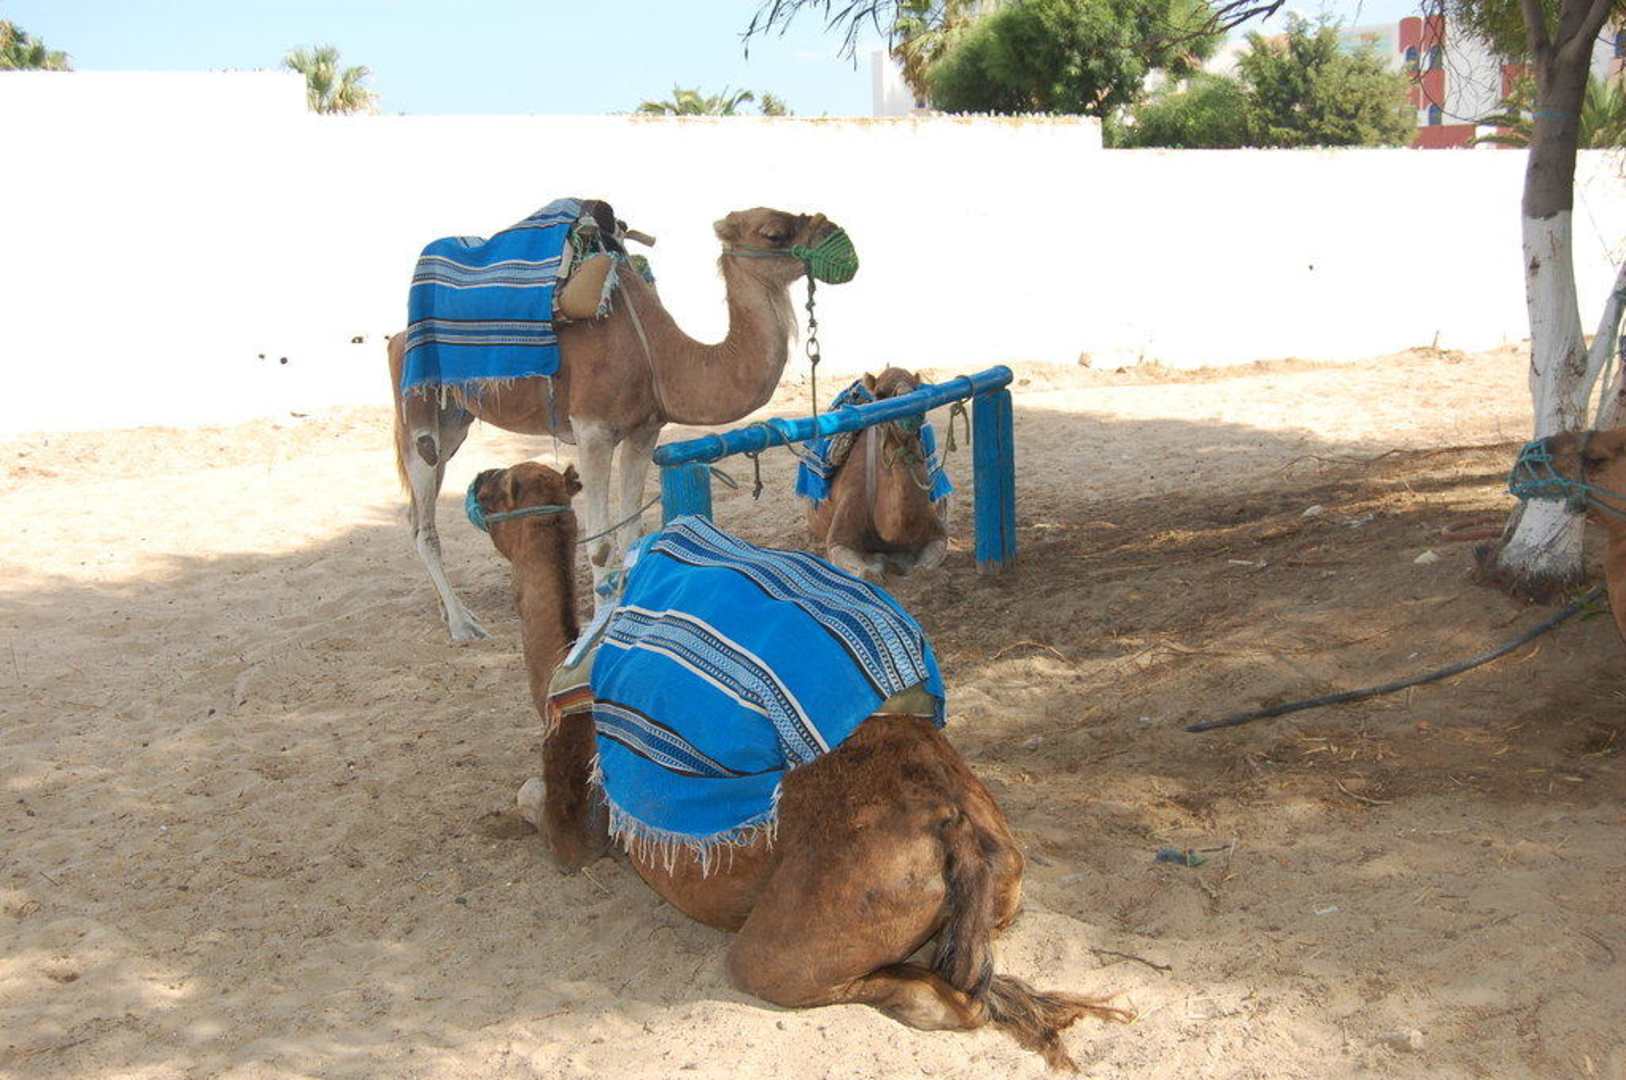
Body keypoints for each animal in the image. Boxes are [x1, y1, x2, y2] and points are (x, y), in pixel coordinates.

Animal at [388, 207, 849, 641]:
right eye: (773, 233)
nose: (835, 233)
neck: (658, 355)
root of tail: (396, 339)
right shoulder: (593, 430)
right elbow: (600, 542)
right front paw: (597, 632)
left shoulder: (645, 431)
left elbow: (631, 531)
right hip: (417, 417)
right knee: (425, 523)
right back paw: (464, 624)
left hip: (455, 422)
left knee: (417, 515)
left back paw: (448, 611)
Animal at [471, 460, 1129, 1070]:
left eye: (500, 485)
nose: (477, 479)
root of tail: (958, 832)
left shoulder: (576, 814)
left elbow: (535, 806)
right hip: (1004, 886)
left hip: (796, 938)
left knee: (914, 994)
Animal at [806, 368, 949, 579]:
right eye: (880, 394)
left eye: (917, 390)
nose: (911, 412)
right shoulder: (838, 536)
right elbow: (866, 572)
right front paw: (878, 563)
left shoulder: (938, 533)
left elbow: (923, 568)